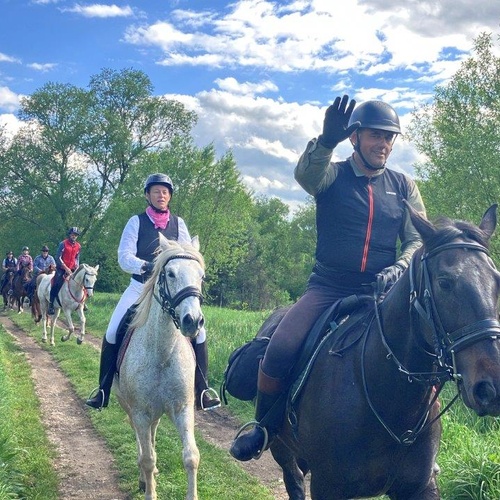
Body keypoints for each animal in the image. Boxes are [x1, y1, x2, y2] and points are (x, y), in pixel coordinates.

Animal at [114, 234, 204, 500]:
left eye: (201, 276)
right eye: (171, 274)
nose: (193, 321)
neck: (163, 354)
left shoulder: (182, 408)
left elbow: (191, 456)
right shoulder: (140, 412)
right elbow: (147, 458)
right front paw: (149, 486)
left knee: (152, 437)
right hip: (132, 408)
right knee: (142, 444)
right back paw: (144, 479)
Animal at [246, 204, 500, 500]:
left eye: (497, 281)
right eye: (445, 282)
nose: (491, 388)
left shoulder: (421, 486)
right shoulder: (327, 486)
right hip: (282, 448)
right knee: (294, 479)